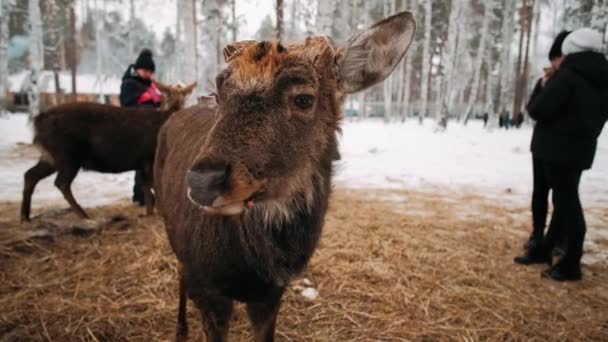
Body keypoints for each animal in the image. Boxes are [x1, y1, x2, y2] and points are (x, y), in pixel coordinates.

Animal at [20, 82, 196, 222]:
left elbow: (146, 187)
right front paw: (159, 213)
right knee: (61, 182)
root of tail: (37, 121)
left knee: (30, 175)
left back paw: (25, 217)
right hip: (67, 154)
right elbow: (154, 186)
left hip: (51, 156)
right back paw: (83, 215)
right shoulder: (150, 158)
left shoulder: (142, 162)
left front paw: (149, 213)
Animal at [154, 12, 416, 340]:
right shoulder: (207, 288)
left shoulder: (272, 294)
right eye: (219, 94)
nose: (203, 180)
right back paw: (180, 328)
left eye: (303, 99)